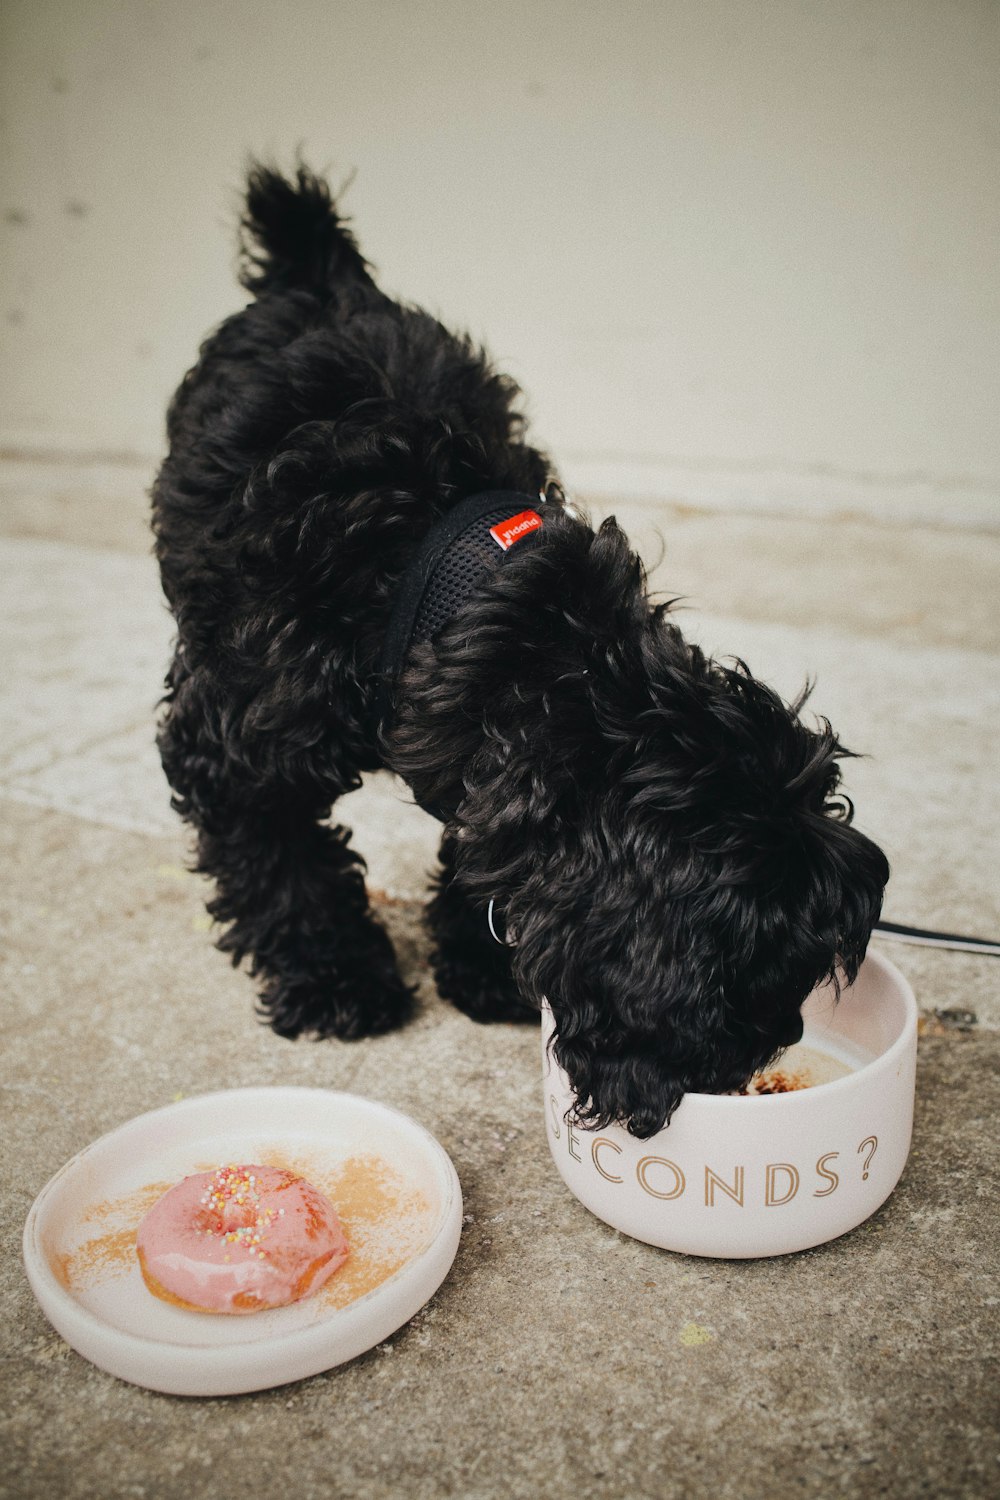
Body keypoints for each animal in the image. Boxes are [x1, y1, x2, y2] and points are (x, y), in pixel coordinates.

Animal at [152, 161, 887, 1134]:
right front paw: (335, 979)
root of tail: (319, 274)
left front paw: (481, 961)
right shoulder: (232, 748)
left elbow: (480, 848)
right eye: (739, 984)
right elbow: (283, 863)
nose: (758, 1059)